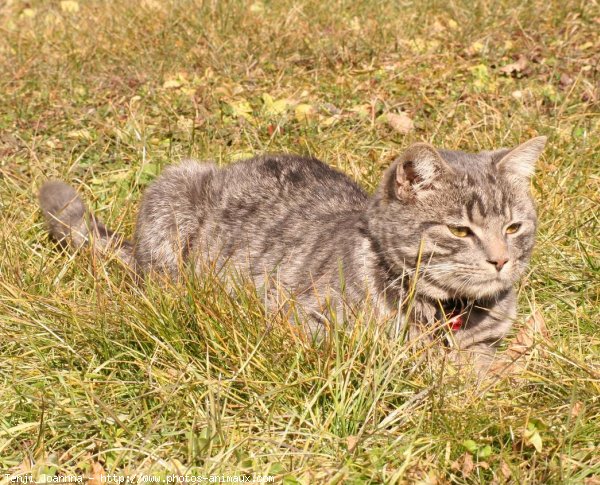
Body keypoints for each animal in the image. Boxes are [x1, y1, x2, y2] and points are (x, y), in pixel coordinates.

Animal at [36, 136, 544, 370]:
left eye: (513, 226)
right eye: (459, 229)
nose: (501, 260)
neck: (448, 313)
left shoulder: (487, 341)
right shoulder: (306, 321)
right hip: (174, 191)